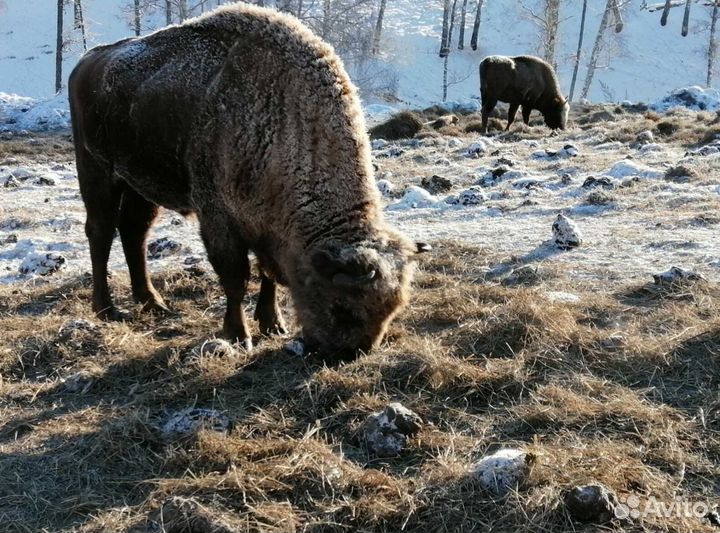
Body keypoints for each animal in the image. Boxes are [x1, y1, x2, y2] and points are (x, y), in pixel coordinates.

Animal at [68, 3, 424, 358]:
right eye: (342, 308)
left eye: (391, 310)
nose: (346, 354)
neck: (284, 125)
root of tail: (86, 63)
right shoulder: (219, 220)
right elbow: (236, 278)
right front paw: (239, 335)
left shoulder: (266, 229)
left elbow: (268, 275)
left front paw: (273, 324)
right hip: (97, 172)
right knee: (101, 232)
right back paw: (107, 309)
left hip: (140, 185)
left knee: (134, 232)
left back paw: (153, 303)